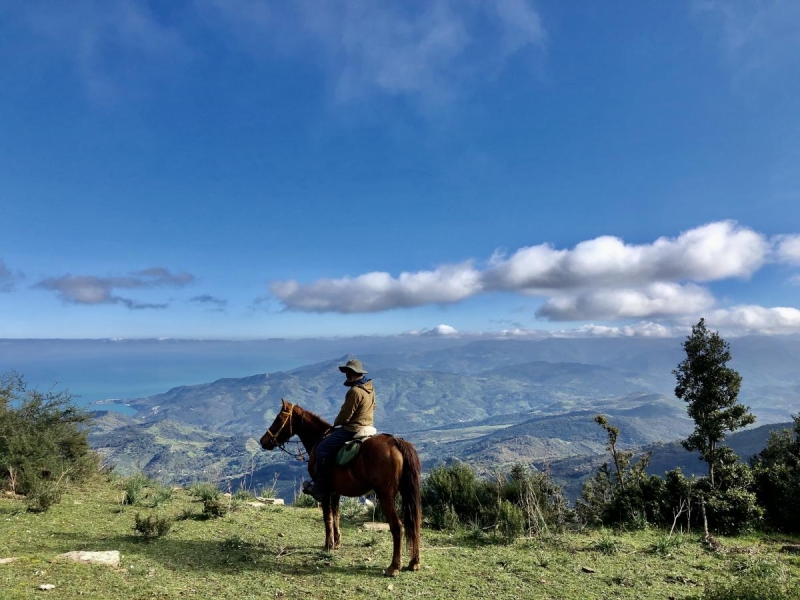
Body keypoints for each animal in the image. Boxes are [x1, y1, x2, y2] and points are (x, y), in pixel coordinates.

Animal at [260, 398, 424, 576]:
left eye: (278, 419)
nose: (263, 441)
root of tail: (395, 442)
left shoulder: (324, 490)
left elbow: (327, 517)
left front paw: (328, 545)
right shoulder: (335, 491)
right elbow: (336, 514)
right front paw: (337, 542)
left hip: (385, 495)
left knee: (397, 526)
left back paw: (394, 566)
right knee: (414, 523)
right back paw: (414, 562)